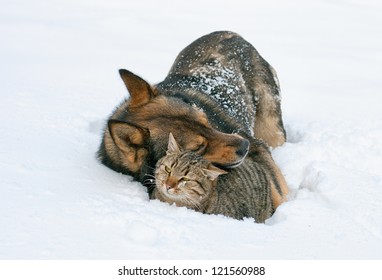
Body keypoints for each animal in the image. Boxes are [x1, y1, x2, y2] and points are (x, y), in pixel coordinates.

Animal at [97, 31, 286, 203]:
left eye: (206, 121)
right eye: (198, 148)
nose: (246, 146)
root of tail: (229, 33)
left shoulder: (260, 152)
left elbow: (279, 193)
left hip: (272, 132)